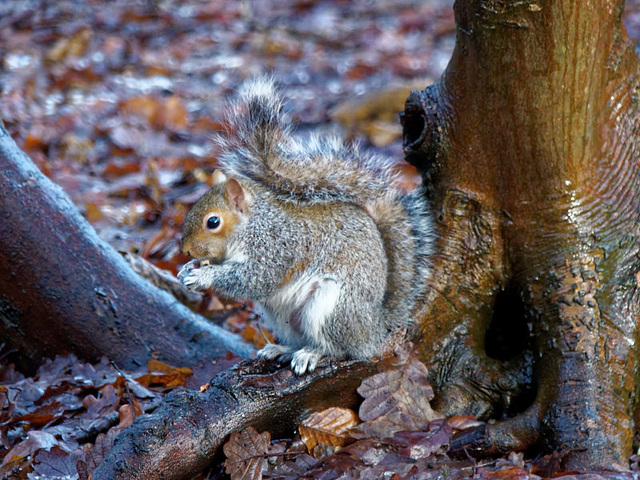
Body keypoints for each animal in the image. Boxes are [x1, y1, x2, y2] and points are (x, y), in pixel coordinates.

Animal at [178, 78, 432, 376]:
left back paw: (312, 353)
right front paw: (187, 269)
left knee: (339, 348)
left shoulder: (277, 246)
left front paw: (203, 276)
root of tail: (375, 330)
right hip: (281, 316)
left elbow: (253, 279)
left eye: (213, 222)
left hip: (329, 306)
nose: (184, 251)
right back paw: (282, 349)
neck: (253, 224)